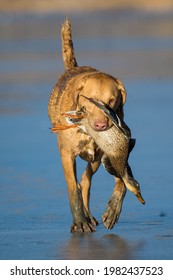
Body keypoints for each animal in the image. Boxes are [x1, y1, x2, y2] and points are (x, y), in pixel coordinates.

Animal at [48, 19, 129, 232]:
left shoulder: (112, 152)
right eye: (90, 100)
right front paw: (80, 222)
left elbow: (122, 181)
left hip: (95, 160)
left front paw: (113, 210)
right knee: (79, 184)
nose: (101, 125)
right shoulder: (66, 154)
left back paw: (90, 214)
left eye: (112, 100)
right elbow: (72, 189)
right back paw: (85, 217)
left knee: (85, 181)